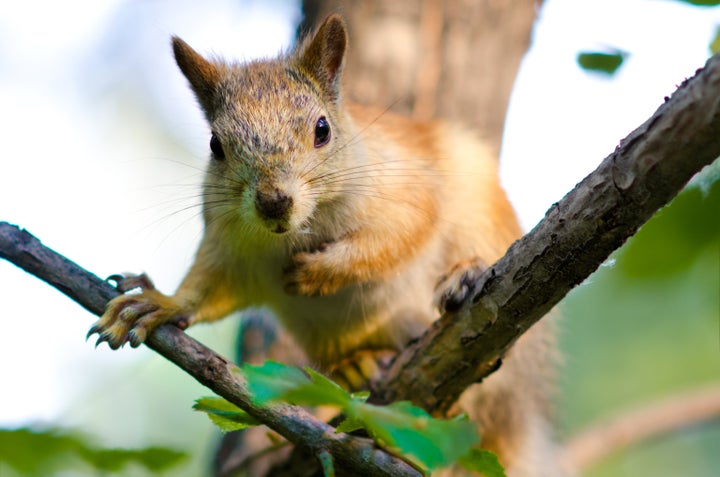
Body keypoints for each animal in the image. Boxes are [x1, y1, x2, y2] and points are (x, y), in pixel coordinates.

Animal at [88, 13, 564, 476]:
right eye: (215, 145)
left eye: (323, 130)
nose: (273, 201)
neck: (300, 230)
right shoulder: (229, 247)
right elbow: (206, 289)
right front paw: (158, 303)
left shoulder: (407, 193)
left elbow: (395, 238)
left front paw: (316, 272)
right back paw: (358, 364)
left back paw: (464, 277)